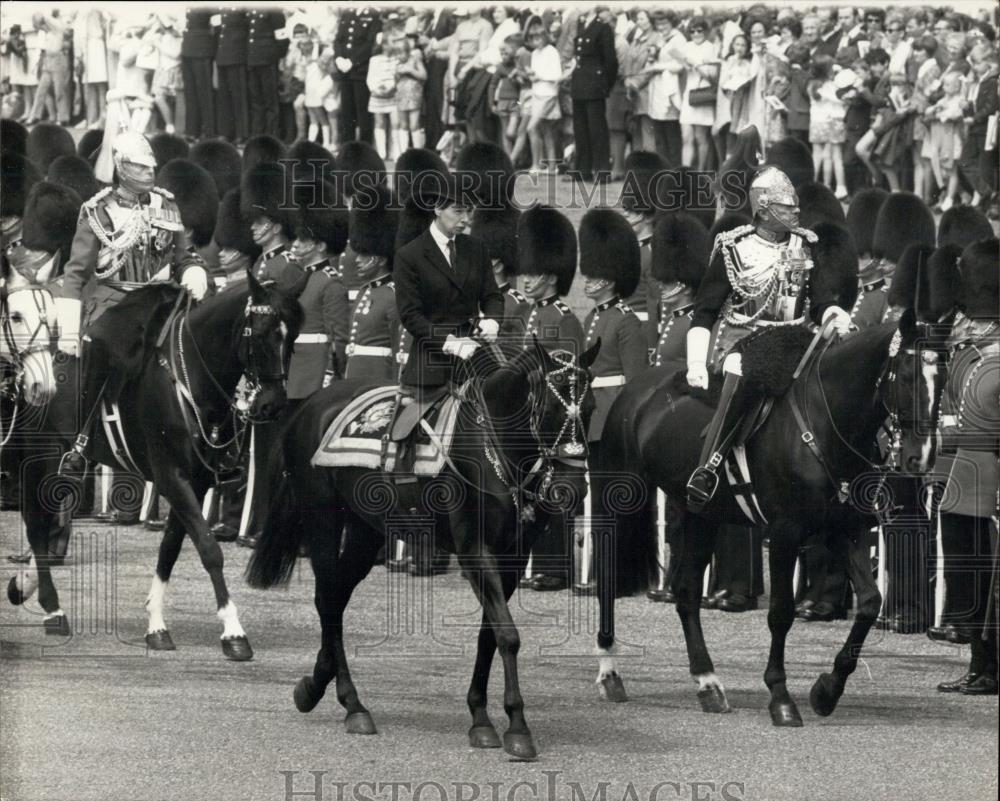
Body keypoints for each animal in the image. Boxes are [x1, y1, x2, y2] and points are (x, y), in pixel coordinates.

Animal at [246, 340, 596, 760]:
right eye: (549, 410)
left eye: (591, 408)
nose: (572, 488)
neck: (492, 449)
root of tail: (312, 403)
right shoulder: (475, 551)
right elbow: (508, 635)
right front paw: (517, 726)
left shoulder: (511, 558)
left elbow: (490, 635)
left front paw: (481, 718)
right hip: (324, 521)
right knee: (328, 598)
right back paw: (350, 703)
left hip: (366, 531)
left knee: (336, 597)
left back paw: (319, 684)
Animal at [588, 310, 948, 724]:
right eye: (905, 375)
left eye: (943, 378)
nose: (921, 457)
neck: (827, 424)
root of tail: (637, 388)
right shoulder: (785, 534)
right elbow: (780, 613)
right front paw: (781, 697)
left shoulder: (845, 530)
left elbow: (871, 603)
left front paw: (828, 689)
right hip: (620, 503)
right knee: (609, 579)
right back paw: (609, 673)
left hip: (699, 514)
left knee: (687, 591)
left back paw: (707, 682)